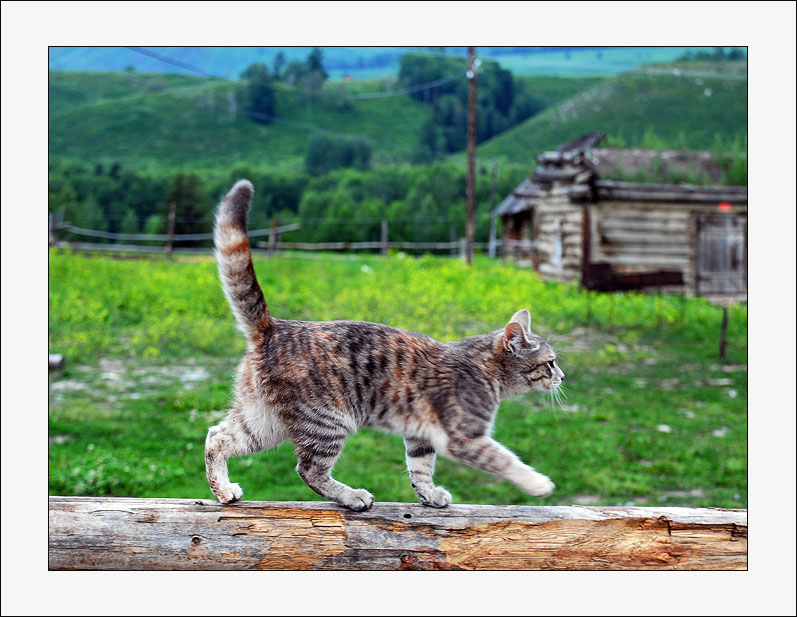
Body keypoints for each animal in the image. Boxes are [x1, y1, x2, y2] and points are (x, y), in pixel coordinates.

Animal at [205, 179, 564, 510]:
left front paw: (430, 495)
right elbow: (505, 460)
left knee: (216, 437)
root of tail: (274, 326)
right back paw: (352, 496)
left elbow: (420, 469)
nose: (562, 377)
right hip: (327, 421)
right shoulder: (464, 436)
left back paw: (224, 490)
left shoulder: (421, 436)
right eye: (550, 362)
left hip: (264, 421)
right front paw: (538, 484)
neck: (485, 367)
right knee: (309, 470)